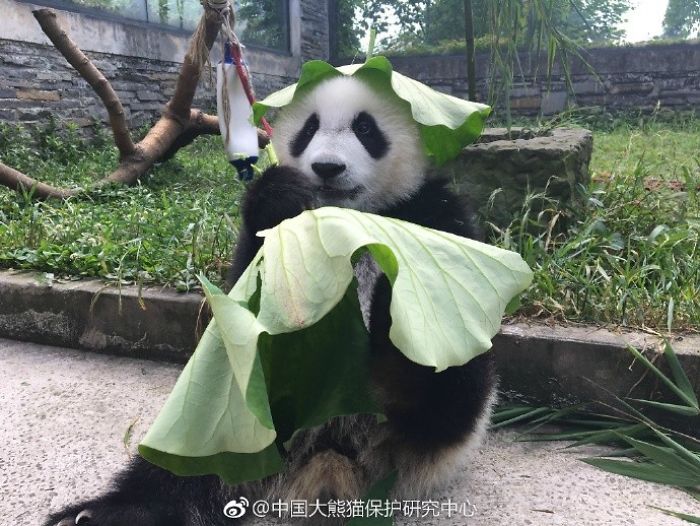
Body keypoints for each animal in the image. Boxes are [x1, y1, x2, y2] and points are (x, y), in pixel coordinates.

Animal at [45, 75, 497, 526]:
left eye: (366, 129)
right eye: (309, 129)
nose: (327, 168)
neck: (345, 220)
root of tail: (325, 463)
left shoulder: (438, 216)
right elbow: (244, 294)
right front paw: (280, 195)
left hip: (420, 435)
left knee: (435, 387)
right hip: (234, 417)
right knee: (192, 450)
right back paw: (108, 513)